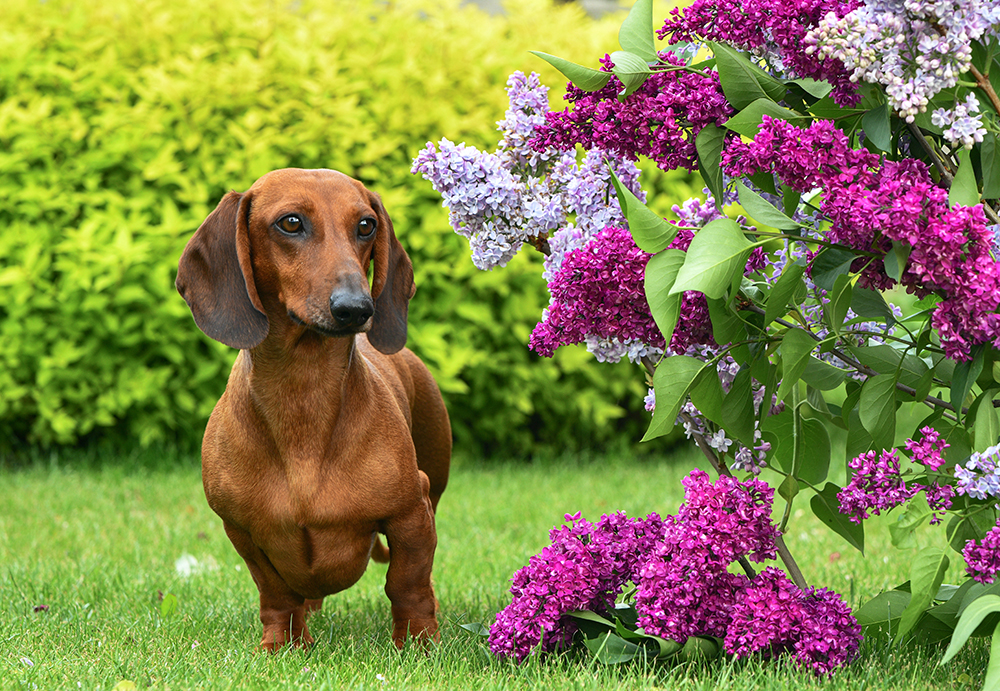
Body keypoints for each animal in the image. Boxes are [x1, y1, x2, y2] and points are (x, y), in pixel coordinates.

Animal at [175, 170, 450, 652]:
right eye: (290, 222)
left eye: (366, 225)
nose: (357, 308)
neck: (303, 396)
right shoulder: (241, 531)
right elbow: (275, 591)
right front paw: (281, 645)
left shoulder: (411, 513)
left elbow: (407, 583)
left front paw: (418, 644)